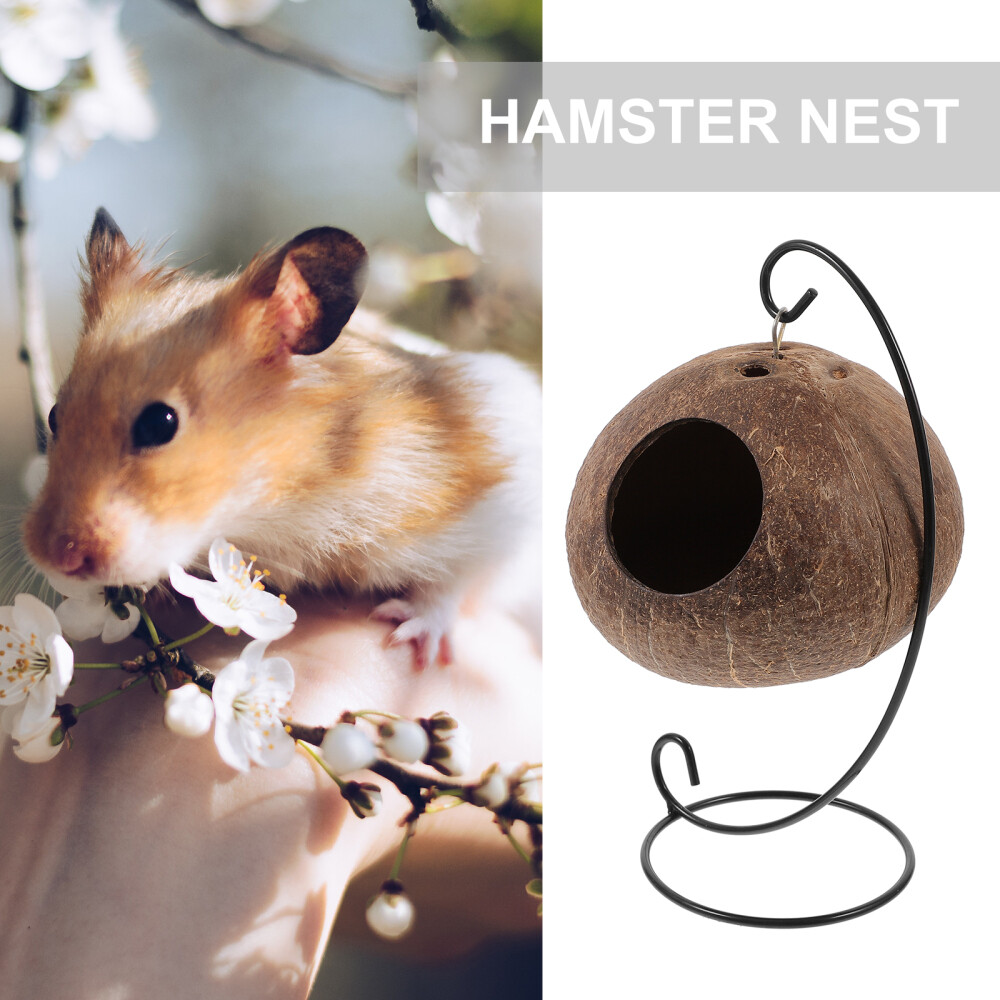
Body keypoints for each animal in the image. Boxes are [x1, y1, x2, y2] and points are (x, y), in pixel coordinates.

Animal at [22, 209, 540, 667]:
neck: (283, 502)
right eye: (53, 415)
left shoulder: (503, 501)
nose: (54, 556)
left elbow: (458, 580)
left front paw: (410, 636)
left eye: (159, 423)